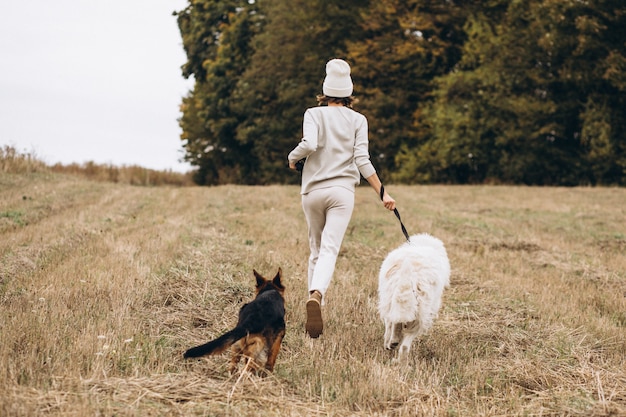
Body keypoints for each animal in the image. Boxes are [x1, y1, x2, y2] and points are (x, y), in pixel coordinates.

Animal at [376, 231, 448, 360]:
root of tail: (413, 274)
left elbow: (390, 324)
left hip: (395, 301)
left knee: (395, 326)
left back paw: (392, 344)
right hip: (420, 312)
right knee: (405, 344)